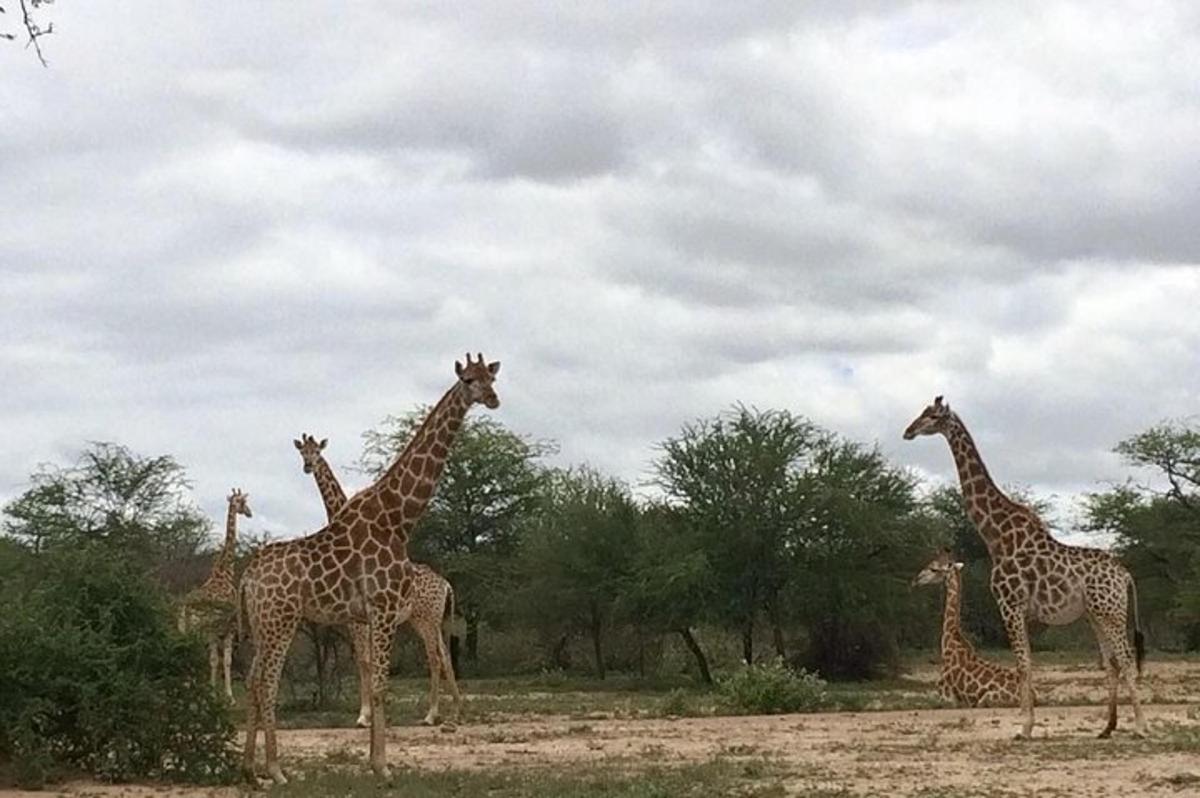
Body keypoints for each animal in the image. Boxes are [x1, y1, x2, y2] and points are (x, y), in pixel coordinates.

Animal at [176, 484, 252, 696]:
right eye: (243, 502)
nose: (249, 512)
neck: (224, 573)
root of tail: (185, 605)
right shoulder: (228, 628)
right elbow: (225, 660)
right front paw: (228, 695)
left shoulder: (216, 630)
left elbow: (214, 660)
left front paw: (212, 691)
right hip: (197, 628)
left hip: (184, 627)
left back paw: (185, 688)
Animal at [292, 432, 460, 724]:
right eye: (303, 452)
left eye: (317, 452)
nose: (308, 466)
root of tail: (446, 584)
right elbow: (370, 660)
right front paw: (373, 711)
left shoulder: (356, 621)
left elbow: (364, 660)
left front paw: (365, 715)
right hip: (431, 619)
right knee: (446, 655)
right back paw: (457, 711)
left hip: (426, 618)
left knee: (435, 658)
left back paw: (431, 714)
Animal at [912, 547, 1027, 705]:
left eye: (934, 569)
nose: (916, 580)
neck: (950, 638)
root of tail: (1034, 695)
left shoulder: (946, 697)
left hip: (984, 699)